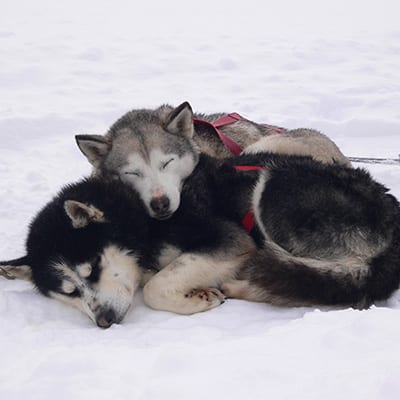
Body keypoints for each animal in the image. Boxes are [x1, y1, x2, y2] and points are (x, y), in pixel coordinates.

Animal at [2, 152, 400, 324]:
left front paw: (194, 299)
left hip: (272, 185)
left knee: (341, 278)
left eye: (93, 269)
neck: (139, 218)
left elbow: (155, 287)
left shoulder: (230, 240)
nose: (104, 320)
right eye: (70, 292)